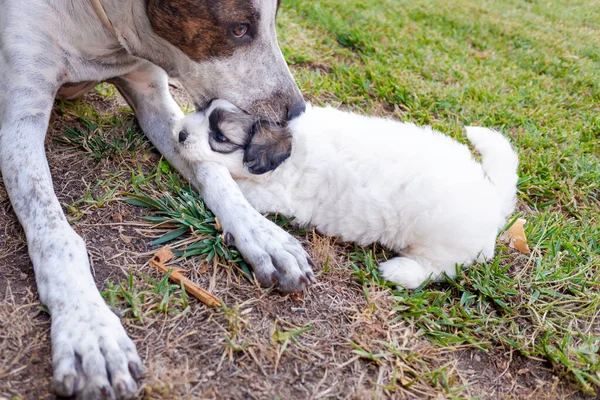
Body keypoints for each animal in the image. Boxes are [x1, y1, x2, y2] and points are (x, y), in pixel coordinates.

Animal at [0, 1, 316, 398]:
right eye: (239, 29)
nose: (297, 111)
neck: (100, 30)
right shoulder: (20, 127)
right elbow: (55, 234)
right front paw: (89, 327)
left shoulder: (153, 98)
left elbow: (214, 172)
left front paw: (262, 234)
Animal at [176, 100, 516, 288]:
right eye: (201, 110)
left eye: (220, 137)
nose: (179, 133)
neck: (290, 143)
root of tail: (493, 198)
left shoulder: (282, 194)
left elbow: (243, 187)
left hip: (441, 242)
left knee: (437, 267)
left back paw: (400, 271)